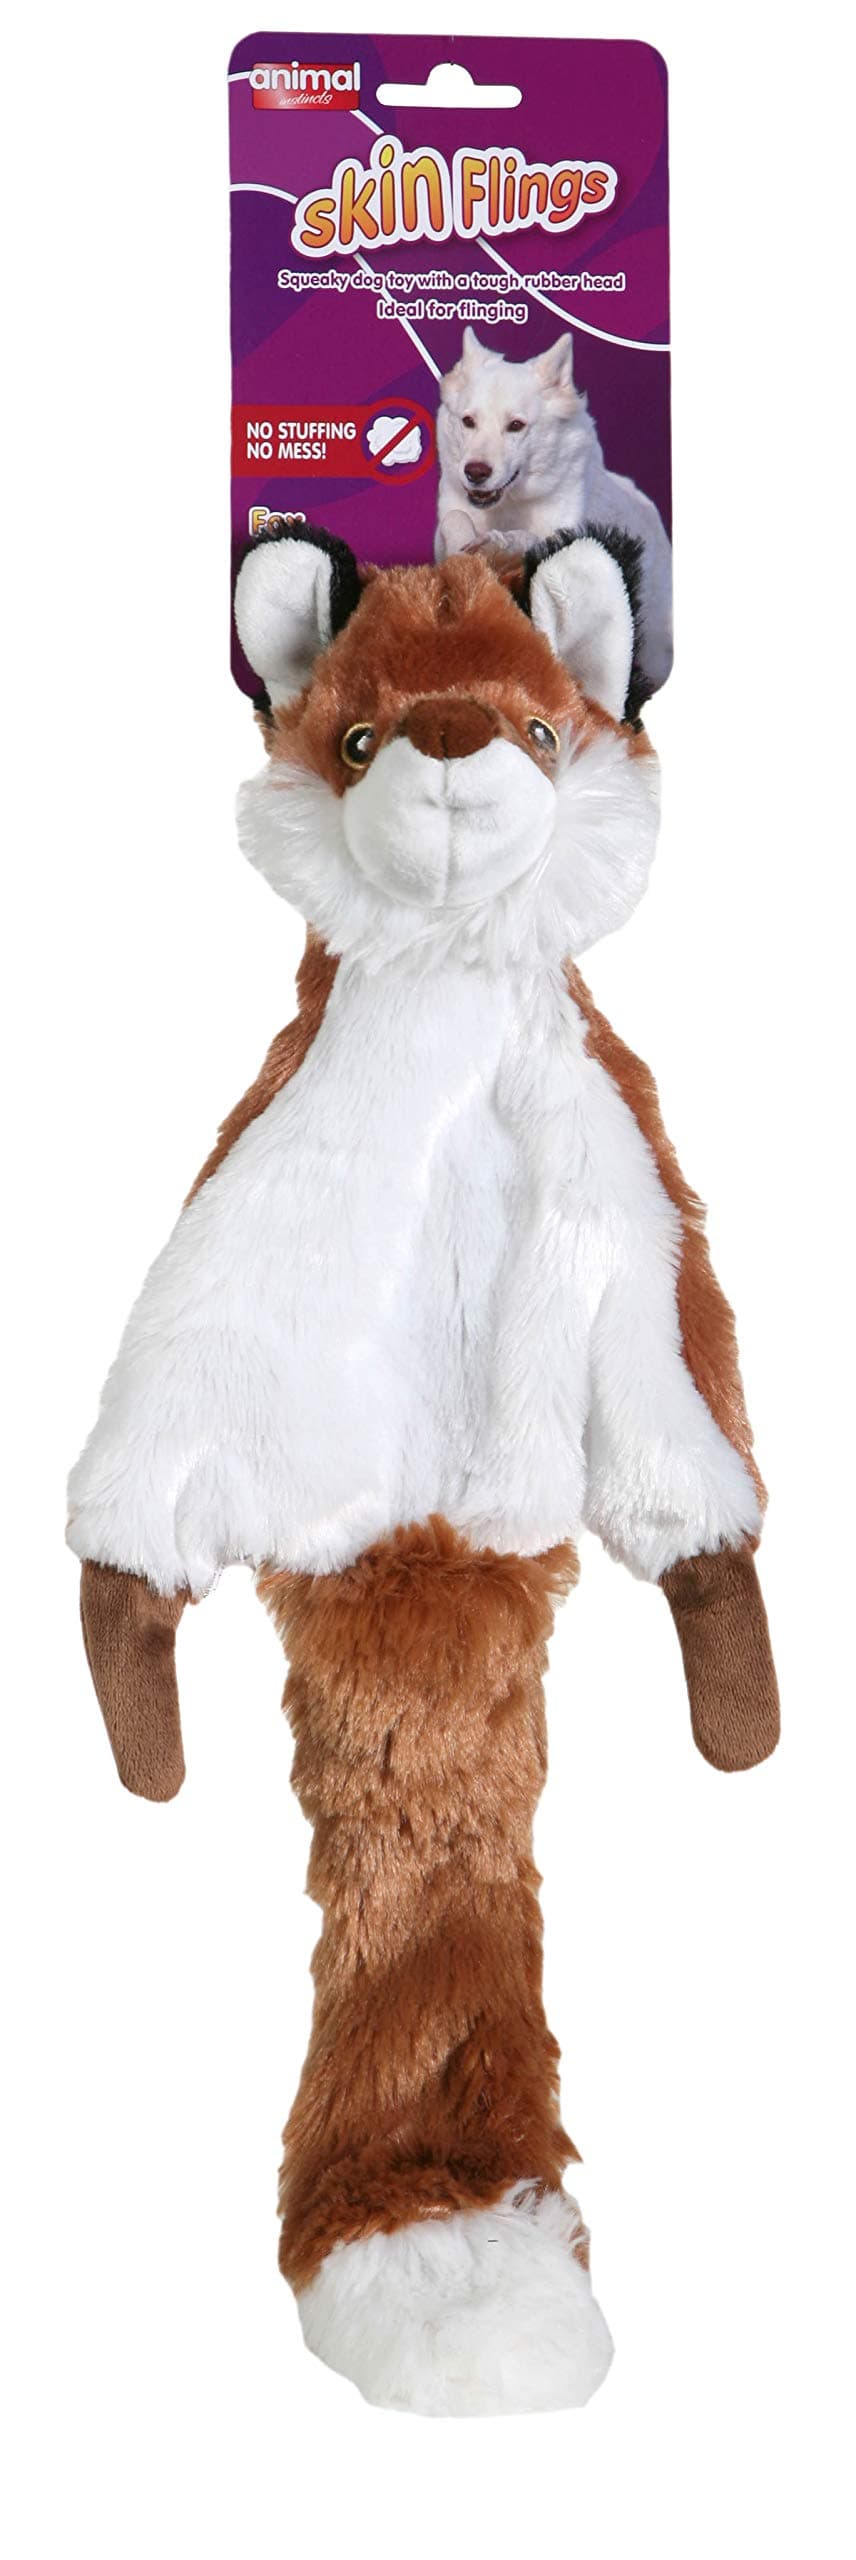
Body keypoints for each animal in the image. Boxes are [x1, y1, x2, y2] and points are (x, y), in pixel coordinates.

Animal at [436, 326, 673, 699]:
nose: (475, 472)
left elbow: (529, 537)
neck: (510, 504)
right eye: (468, 421)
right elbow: (455, 520)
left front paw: (498, 542)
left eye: (516, 426)